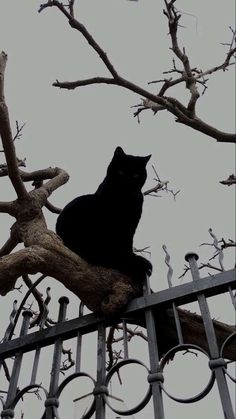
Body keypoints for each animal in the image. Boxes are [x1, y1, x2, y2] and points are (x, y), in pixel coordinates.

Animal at [56, 148, 152, 282]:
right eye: (121, 172)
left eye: (136, 175)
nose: (127, 182)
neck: (125, 200)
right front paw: (132, 262)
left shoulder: (130, 228)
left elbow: (127, 245)